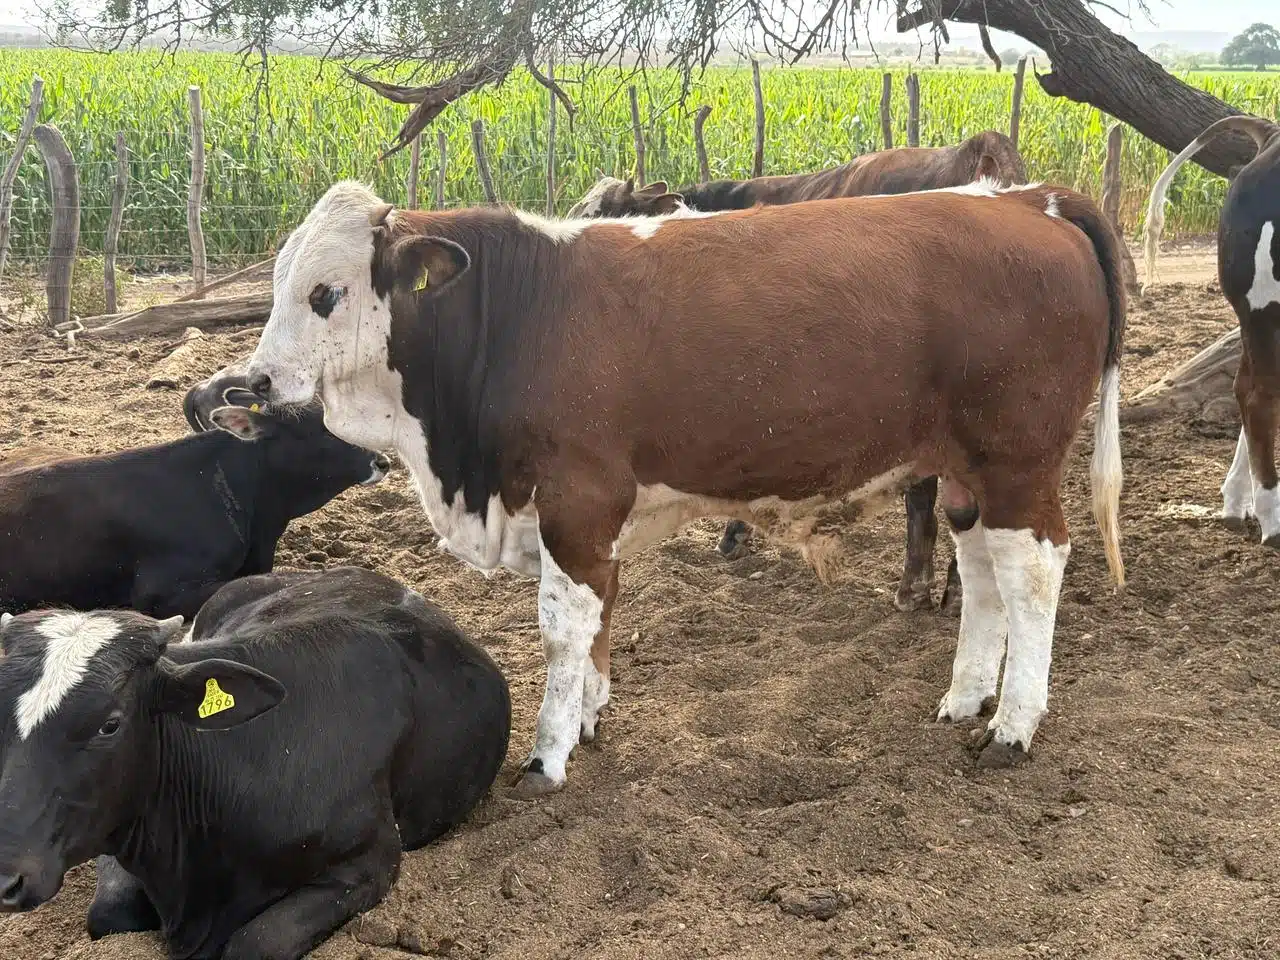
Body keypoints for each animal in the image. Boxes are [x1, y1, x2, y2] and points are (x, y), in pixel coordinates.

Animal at [244, 179, 1126, 798]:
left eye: (324, 293)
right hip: (970, 470)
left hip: (1017, 462)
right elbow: (601, 616)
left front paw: (548, 754)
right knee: (982, 571)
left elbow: (564, 628)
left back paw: (1012, 726)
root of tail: (1028, 200)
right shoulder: (595, 519)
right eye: (278, 284)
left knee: (1034, 572)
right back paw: (966, 698)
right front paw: (590, 716)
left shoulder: (577, 501)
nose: (255, 381)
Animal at [1141, 114, 1280, 542]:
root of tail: (1271, 136)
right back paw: (1272, 520)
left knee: (1243, 387)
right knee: (1256, 396)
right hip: (1265, 305)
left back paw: (1237, 500)